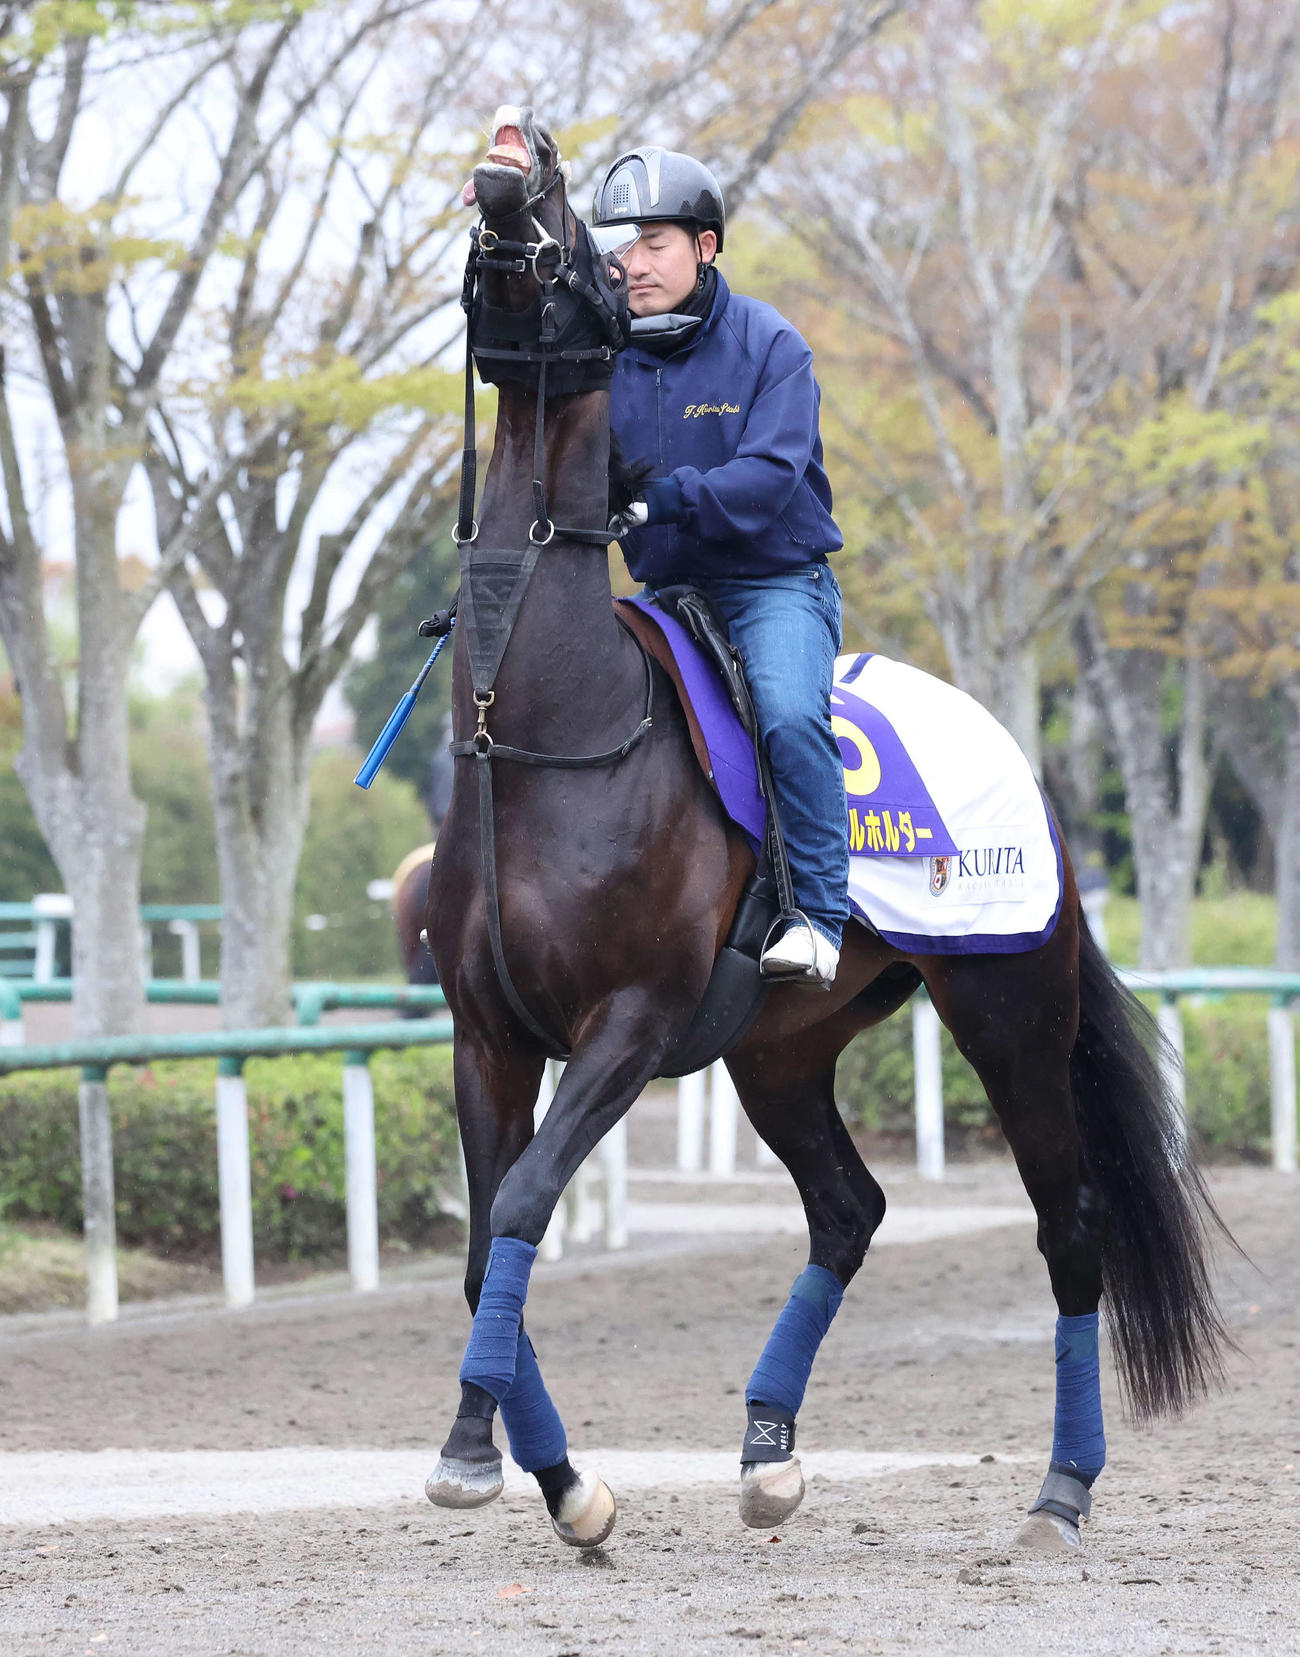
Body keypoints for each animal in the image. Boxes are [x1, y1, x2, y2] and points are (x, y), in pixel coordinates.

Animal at [422, 106, 1229, 1553]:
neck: (545, 737)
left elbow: (517, 1204)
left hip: (1009, 1013)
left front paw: (523, 1466)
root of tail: (1025, 768)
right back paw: (769, 1449)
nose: (519, 147)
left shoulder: (629, 1026)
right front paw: (527, 1465)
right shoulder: (487, 1038)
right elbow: (478, 1248)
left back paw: (1060, 1491)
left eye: (593, 241)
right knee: (850, 1210)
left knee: (1068, 1225)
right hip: (780, 1051)